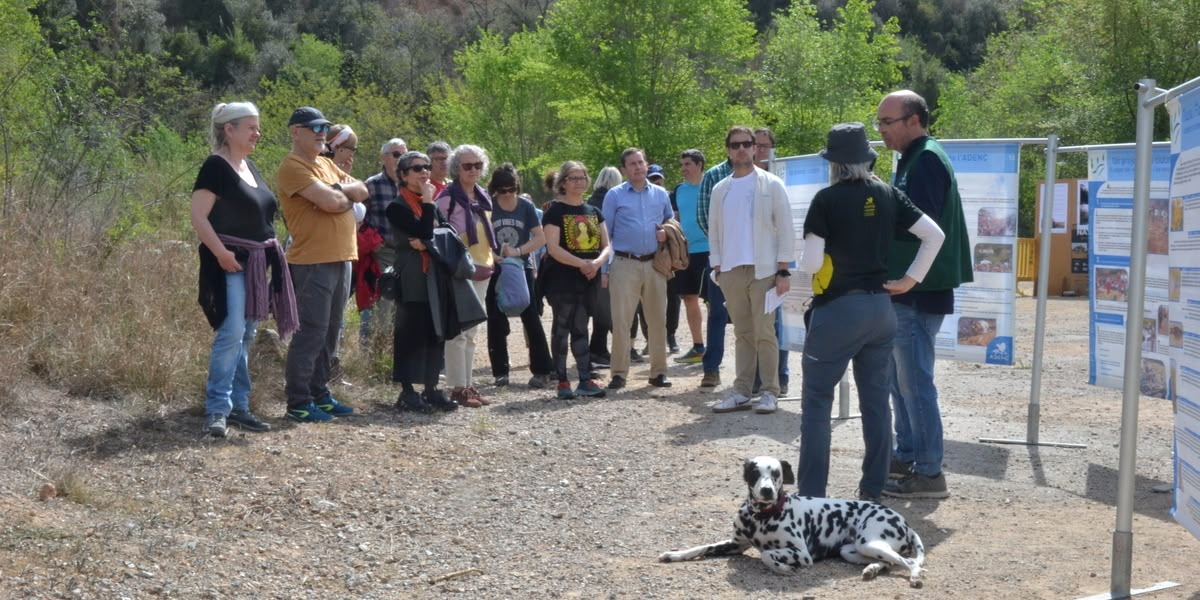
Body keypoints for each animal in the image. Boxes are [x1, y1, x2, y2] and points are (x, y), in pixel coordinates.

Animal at [662, 456, 921, 588]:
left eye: (776, 473)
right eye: (755, 473)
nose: (766, 491)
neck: (761, 516)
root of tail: (904, 522)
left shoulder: (801, 553)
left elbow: (767, 555)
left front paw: (783, 568)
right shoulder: (735, 544)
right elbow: (701, 547)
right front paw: (674, 554)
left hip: (869, 543)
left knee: (908, 562)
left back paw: (915, 576)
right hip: (852, 550)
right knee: (890, 562)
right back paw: (872, 569)